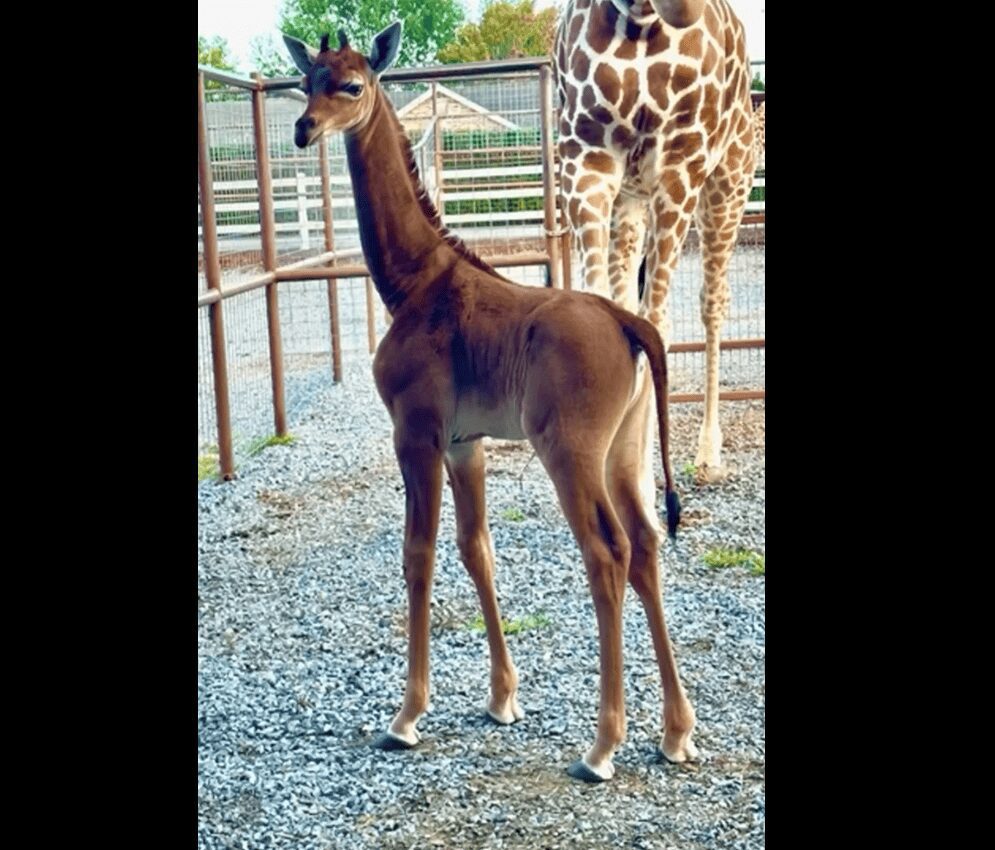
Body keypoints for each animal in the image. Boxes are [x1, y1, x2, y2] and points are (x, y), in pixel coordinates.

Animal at [284, 21, 697, 782]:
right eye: (307, 81)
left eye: (351, 84)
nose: (303, 128)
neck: (412, 282)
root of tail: (629, 324)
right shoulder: (463, 442)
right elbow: (477, 548)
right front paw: (503, 698)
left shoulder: (415, 433)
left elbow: (417, 553)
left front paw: (406, 716)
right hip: (624, 452)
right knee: (648, 545)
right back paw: (676, 733)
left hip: (570, 452)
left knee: (607, 553)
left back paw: (601, 748)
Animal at [554, 0, 758, 493]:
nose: (684, 7)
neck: (640, 21)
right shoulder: (585, 161)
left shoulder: (679, 165)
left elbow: (657, 324)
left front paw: (642, 485)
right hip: (631, 201)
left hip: (728, 184)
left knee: (712, 301)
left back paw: (708, 453)